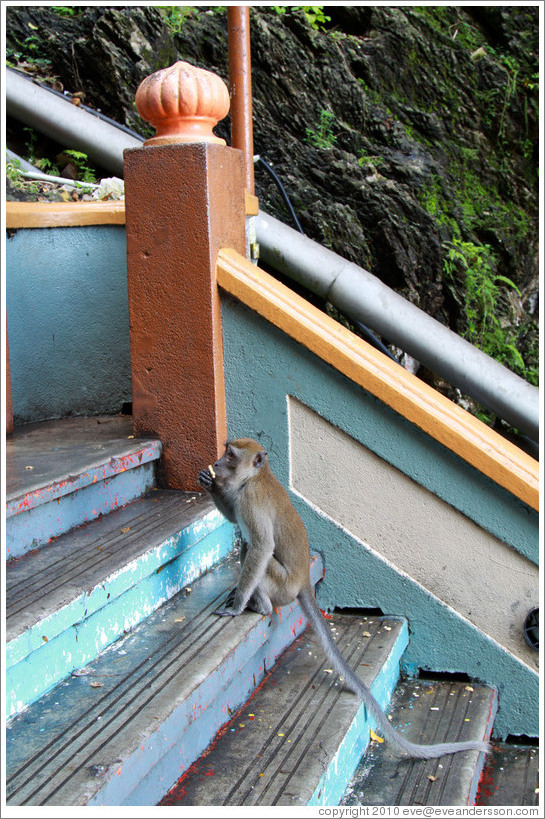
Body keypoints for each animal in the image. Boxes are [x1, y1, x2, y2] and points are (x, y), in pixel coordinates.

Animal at [198, 438, 490, 760]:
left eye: (230, 455)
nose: (218, 462)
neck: (255, 478)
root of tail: (304, 581)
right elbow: (232, 517)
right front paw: (209, 483)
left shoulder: (250, 500)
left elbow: (262, 547)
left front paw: (237, 607)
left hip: (281, 585)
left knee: (250, 548)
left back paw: (258, 605)